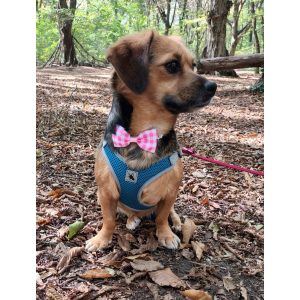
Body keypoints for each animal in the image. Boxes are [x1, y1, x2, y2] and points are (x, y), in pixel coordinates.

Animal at [85, 30, 217, 251]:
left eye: (193, 65)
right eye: (172, 65)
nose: (214, 86)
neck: (145, 135)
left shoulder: (170, 193)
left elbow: (162, 217)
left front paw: (165, 234)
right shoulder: (105, 192)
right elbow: (109, 220)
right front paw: (102, 238)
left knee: (171, 213)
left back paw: (177, 224)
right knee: (129, 213)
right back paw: (132, 219)